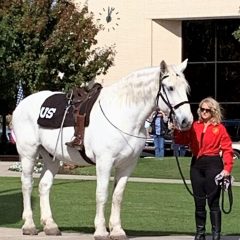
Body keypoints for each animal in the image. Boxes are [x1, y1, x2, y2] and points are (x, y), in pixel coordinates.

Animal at [12, 59, 193, 239]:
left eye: (185, 88)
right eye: (170, 88)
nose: (187, 121)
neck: (122, 113)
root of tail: (22, 104)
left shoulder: (127, 165)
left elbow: (117, 196)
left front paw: (117, 230)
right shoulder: (104, 162)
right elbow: (102, 194)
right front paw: (100, 230)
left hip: (51, 157)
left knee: (44, 185)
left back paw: (50, 226)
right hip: (28, 154)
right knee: (27, 184)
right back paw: (29, 225)